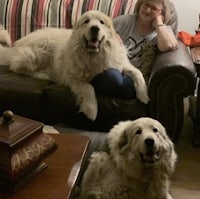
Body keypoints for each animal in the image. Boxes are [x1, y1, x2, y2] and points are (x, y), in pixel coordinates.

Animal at [0, 10, 148, 119]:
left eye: (101, 22)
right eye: (86, 21)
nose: (95, 28)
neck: (93, 56)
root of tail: (19, 43)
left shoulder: (119, 64)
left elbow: (138, 73)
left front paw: (143, 95)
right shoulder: (72, 78)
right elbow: (89, 88)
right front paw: (91, 110)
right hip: (40, 52)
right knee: (17, 66)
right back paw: (43, 75)